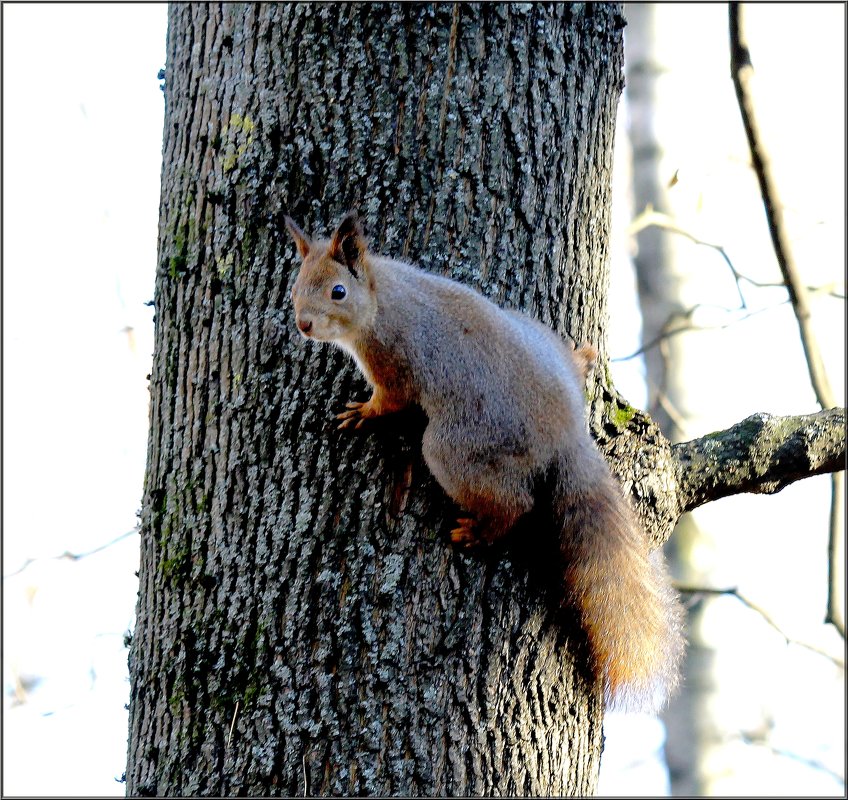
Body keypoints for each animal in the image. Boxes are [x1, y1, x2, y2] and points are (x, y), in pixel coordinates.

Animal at [284, 212, 684, 712]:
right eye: (296, 285)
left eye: (338, 291)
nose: (303, 325)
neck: (381, 294)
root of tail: (566, 432)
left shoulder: (392, 362)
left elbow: (390, 401)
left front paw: (363, 414)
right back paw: (581, 358)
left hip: (457, 448)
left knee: (514, 503)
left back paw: (479, 531)